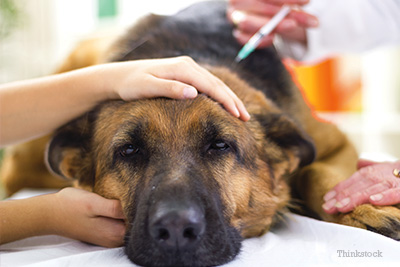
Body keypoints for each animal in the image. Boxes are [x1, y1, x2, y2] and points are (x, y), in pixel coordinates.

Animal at [2, 1, 400, 266]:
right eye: (129, 151)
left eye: (220, 146)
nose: (177, 230)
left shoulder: (334, 145)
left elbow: (318, 173)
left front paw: (362, 209)